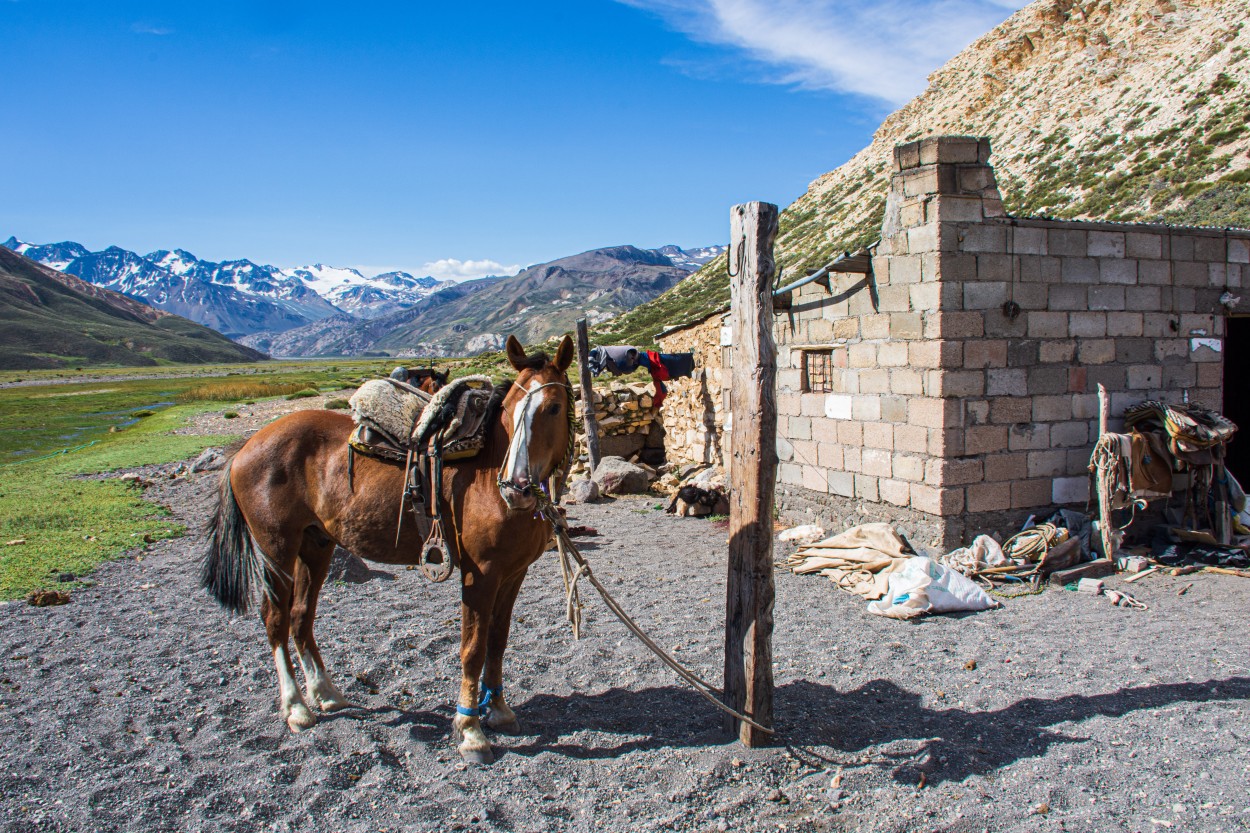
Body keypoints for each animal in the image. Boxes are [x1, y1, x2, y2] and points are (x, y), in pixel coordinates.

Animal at [201, 335, 575, 760]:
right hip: (276, 550)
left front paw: (497, 709)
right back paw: (296, 707)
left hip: (315, 546)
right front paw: (470, 730)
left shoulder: (513, 573)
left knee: (300, 617)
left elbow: (498, 641)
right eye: (511, 410)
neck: (489, 469)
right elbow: (473, 647)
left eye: (553, 407)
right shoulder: (479, 574)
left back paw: (326, 694)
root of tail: (246, 446)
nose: (515, 488)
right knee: (275, 620)